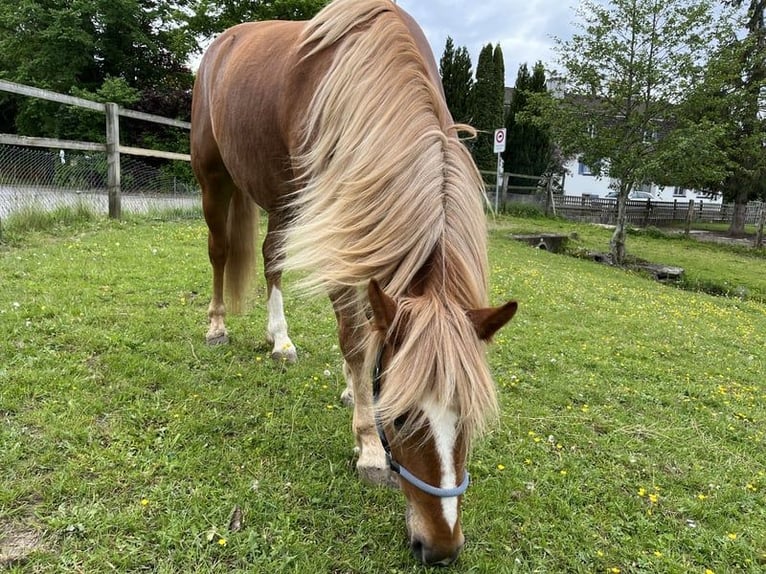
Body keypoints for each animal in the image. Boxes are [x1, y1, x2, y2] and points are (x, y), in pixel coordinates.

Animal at [190, 0, 520, 568]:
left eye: (470, 420)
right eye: (403, 418)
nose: (442, 548)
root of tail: (220, 46)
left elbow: (368, 329)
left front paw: (354, 387)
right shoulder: (343, 230)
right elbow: (355, 336)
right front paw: (368, 444)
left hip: (286, 202)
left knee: (272, 258)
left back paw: (280, 340)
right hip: (215, 180)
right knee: (219, 252)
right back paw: (217, 326)